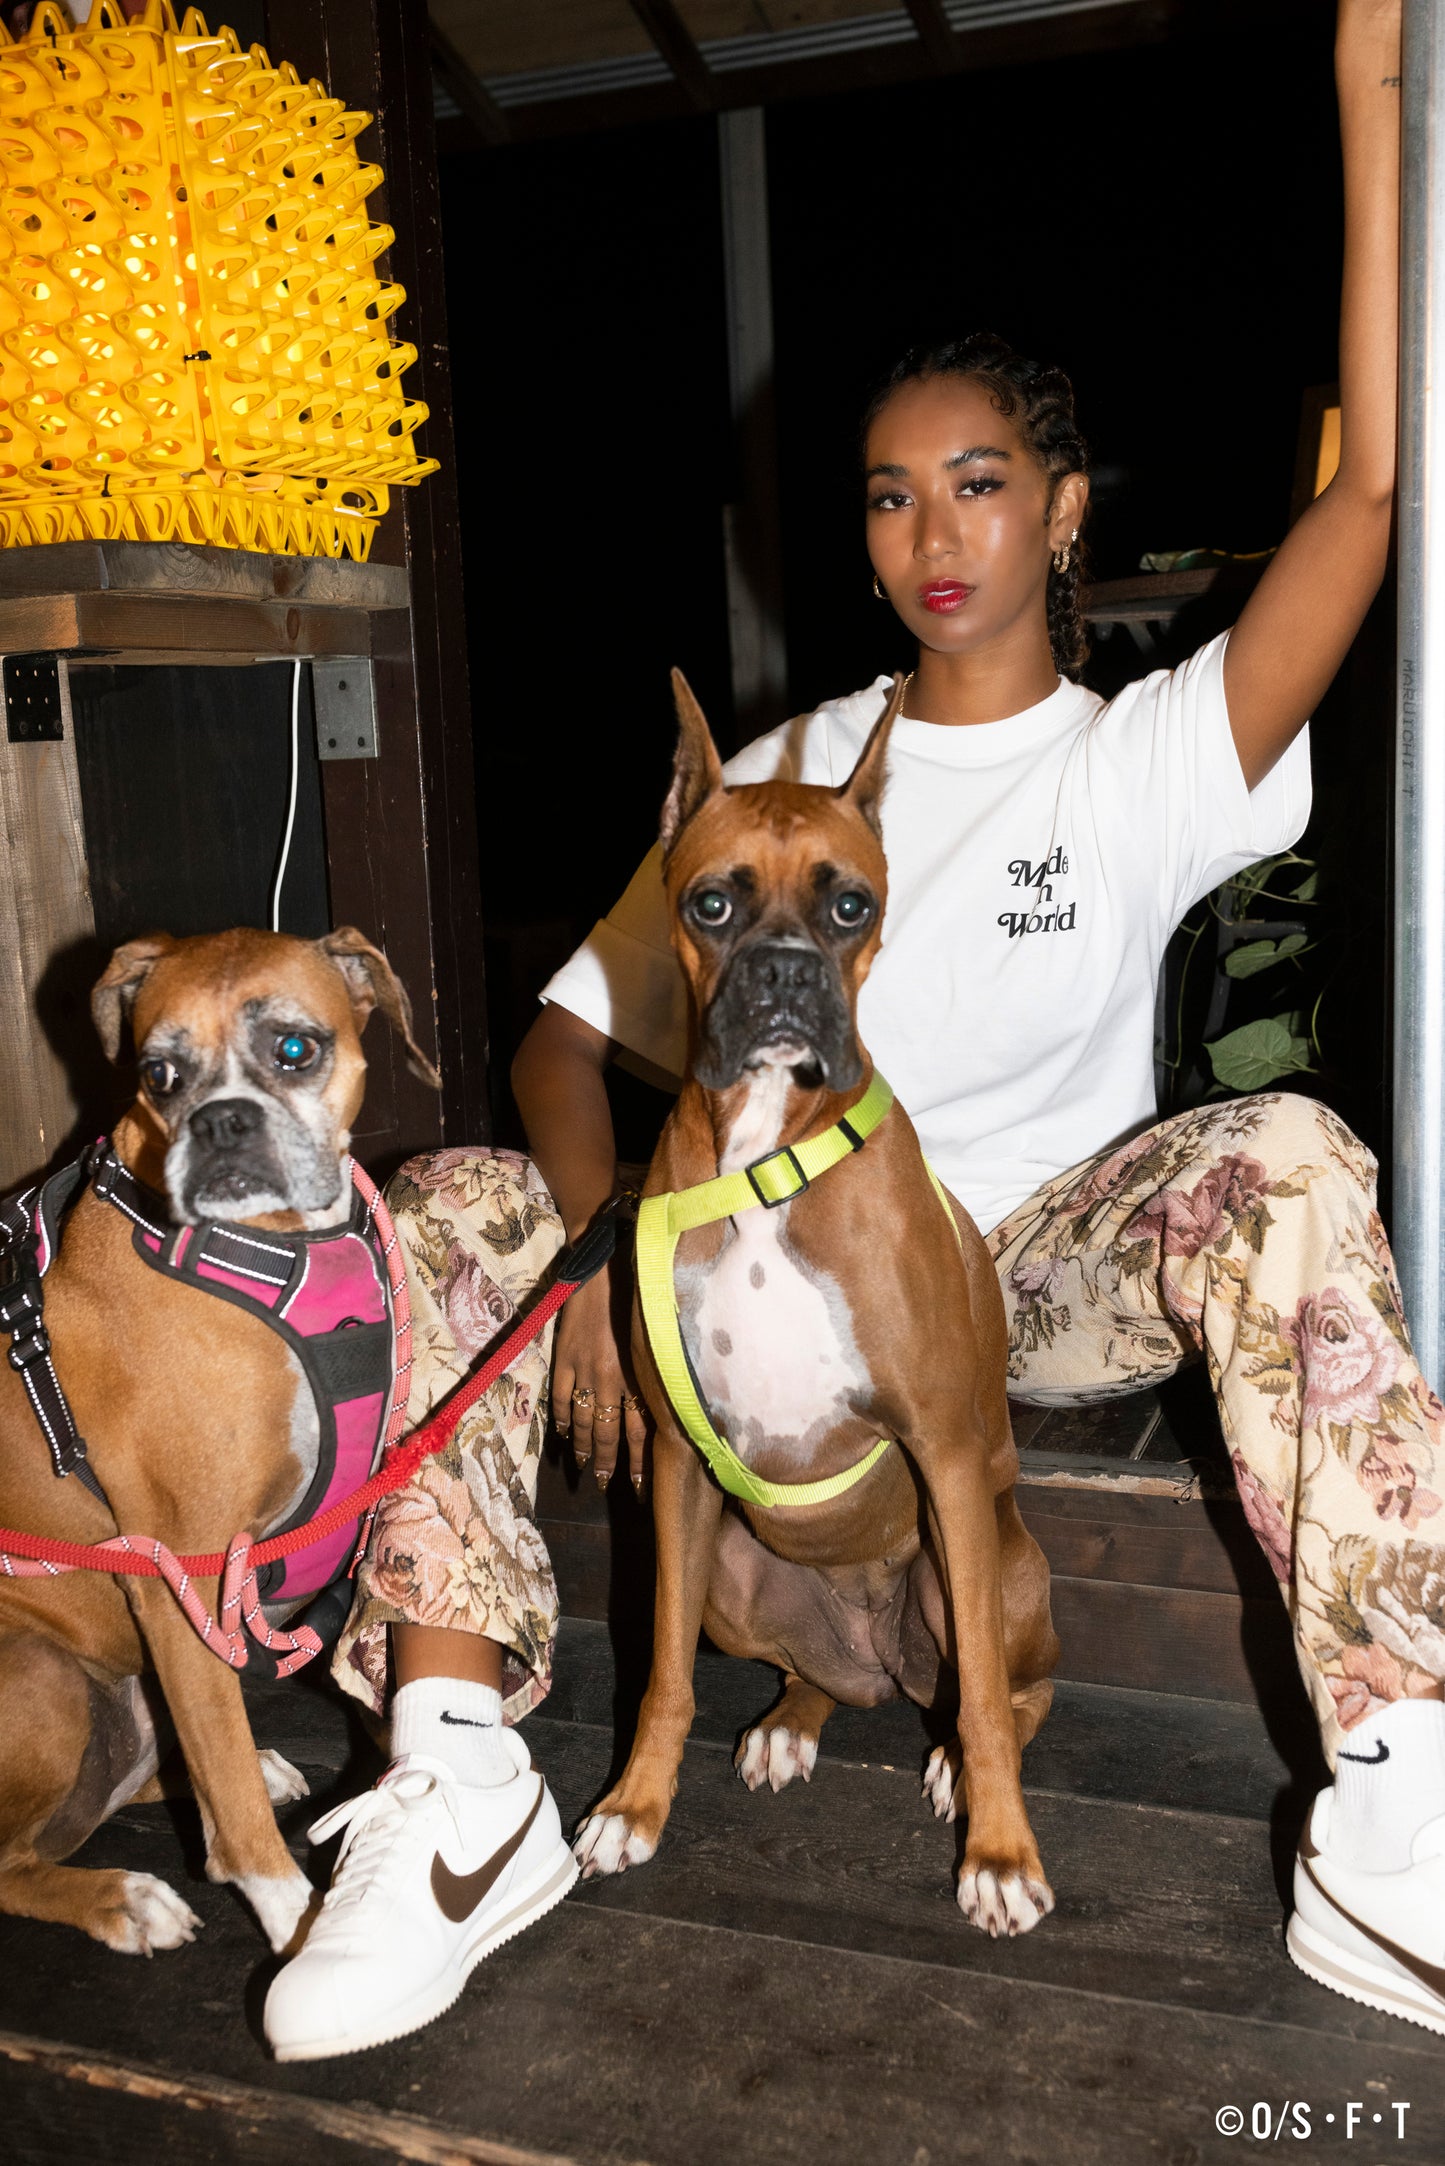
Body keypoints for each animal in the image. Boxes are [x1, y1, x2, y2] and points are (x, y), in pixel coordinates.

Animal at [0, 925, 437, 1957]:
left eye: (293, 1048)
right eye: (159, 1074)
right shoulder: (182, 1581)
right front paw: (300, 1928)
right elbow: (231, 1807)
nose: (223, 1124)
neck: (275, 1249)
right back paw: (121, 1899)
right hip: (38, 1675)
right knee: (16, 1859)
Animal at [573, 674, 1059, 1935]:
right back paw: (790, 1724)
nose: (785, 973)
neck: (763, 1157)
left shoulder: (943, 1455)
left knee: (1003, 1691)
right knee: (814, 1678)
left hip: (987, 1568)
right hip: (733, 1583)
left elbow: (981, 1703)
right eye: (709, 903)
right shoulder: (674, 1470)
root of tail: (872, 1651)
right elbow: (661, 1675)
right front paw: (633, 1807)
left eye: (849, 906)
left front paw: (999, 1854)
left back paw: (955, 1765)